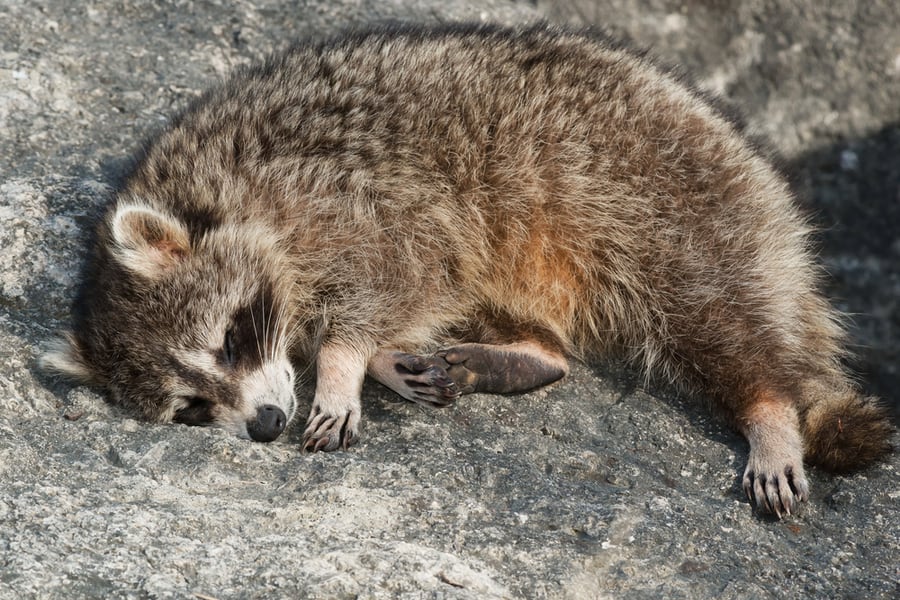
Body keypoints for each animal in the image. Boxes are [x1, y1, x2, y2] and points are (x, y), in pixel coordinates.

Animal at [38, 22, 888, 516]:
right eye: (189, 408)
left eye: (228, 341)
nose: (266, 423)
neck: (215, 195)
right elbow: (414, 300)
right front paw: (380, 358)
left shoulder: (355, 204)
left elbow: (389, 279)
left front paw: (342, 363)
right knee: (519, 318)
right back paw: (522, 354)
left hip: (672, 207)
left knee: (718, 316)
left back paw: (768, 409)